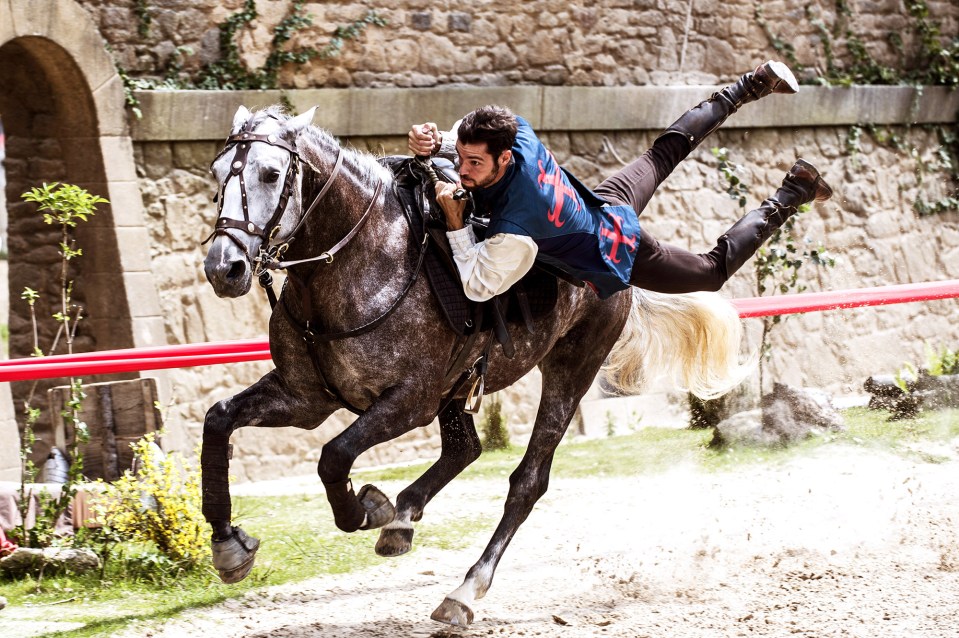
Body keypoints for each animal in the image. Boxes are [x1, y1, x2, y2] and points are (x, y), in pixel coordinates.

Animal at [201, 106, 744, 632]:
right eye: (216, 172)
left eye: (271, 173)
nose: (223, 268)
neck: (361, 262)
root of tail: (619, 250)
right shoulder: (305, 396)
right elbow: (219, 418)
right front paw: (229, 545)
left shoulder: (410, 401)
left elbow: (333, 456)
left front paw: (366, 508)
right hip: (463, 384)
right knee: (466, 449)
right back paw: (403, 520)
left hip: (571, 368)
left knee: (527, 482)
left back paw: (463, 588)